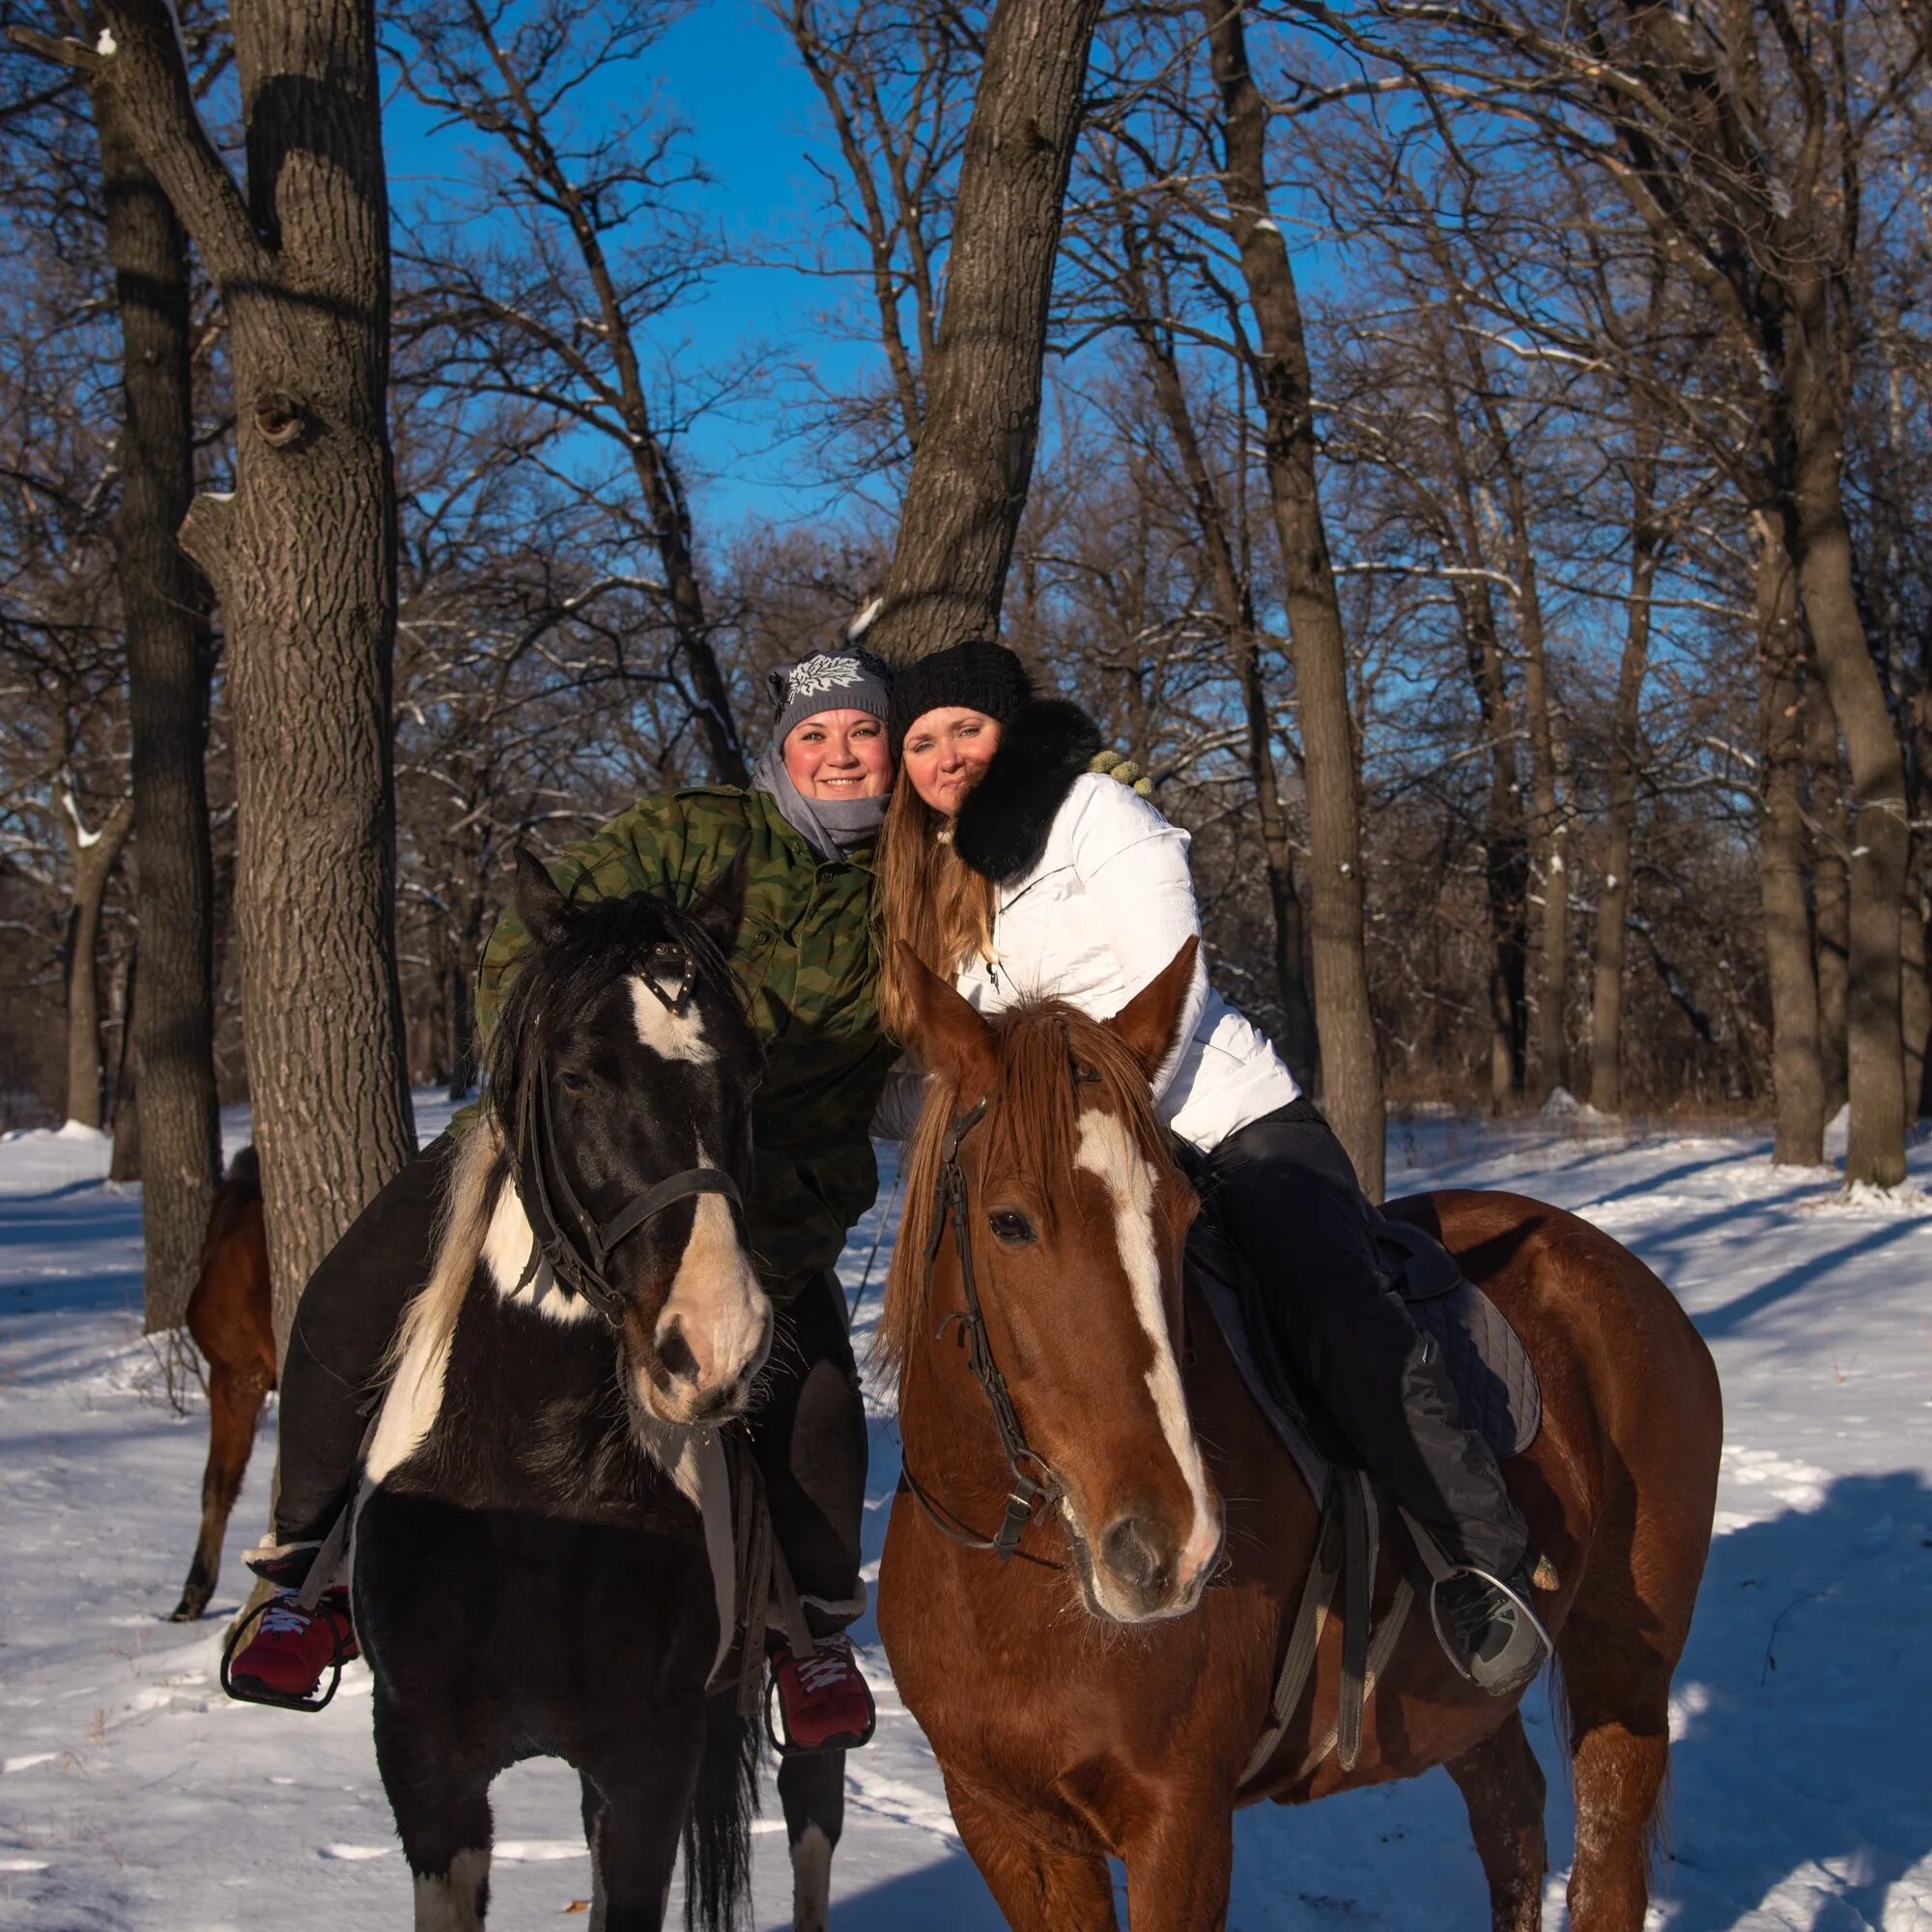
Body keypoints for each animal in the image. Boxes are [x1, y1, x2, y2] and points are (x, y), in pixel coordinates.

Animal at [357, 862, 846, 1932]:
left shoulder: (647, 1768)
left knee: (815, 1824)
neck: (536, 1479)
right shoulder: (427, 1768)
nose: (715, 1342)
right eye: (580, 1073)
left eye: (750, 1074)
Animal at [877, 947, 1723, 1932]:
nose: (1169, 1544)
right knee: (1513, 1818)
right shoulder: (1007, 1827)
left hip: (1623, 1670)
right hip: (1470, 1708)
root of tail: (1627, 1276)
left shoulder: (1180, 1825)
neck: (1010, 1572)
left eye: (1181, 1218)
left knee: (1604, 1865)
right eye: (1008, 1221)